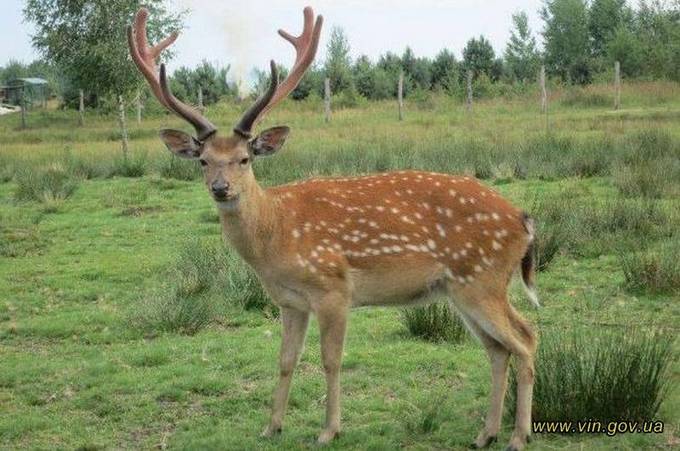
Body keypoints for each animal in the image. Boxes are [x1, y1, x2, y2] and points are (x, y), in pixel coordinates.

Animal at [127, 7, 540, 451]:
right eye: (203, 160)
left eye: (244, 159)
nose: (221, 188)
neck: (276, 236)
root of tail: (524, 219)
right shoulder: (289, 301)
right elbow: (285, 360)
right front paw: (271, 426)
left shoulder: (333, 289)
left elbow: (330, 360)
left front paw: (329, 429)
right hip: (461, 289)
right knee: (498, 349)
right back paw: (487, 432)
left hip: (483, 278)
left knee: (526, 338)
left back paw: (518, 436)